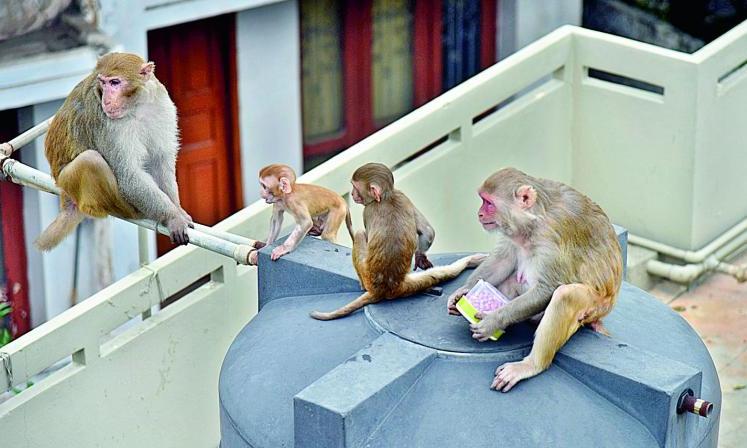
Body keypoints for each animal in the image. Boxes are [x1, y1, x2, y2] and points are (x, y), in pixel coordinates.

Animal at [35, 52, 192, 251]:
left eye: (115, 82)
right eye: (103, 83)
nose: (106, 100)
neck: (137, 106)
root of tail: (65, 193)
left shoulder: (161, 105)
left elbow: (159, 161)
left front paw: (177, 209)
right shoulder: (108, 124)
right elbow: (129, 176)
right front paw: (173, 217)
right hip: (73, 183)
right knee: (90, 160)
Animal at [310, 163, 486, 320]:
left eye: (355, 187)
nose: (352, 195)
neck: (386, 197)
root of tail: (386, 289)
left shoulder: (369, 209)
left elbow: (363, 233)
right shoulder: (402, 196)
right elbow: (428, 231)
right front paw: (420, 257)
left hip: (367, 275)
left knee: (360, 234)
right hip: (408, 283)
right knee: (443, 272)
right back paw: (470, 261)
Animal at [446, 167, 623, 392]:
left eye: (488, 202)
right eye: (482, 200)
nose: (480, 214)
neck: (534, 220)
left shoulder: (553, 235)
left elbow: (549, 288)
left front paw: (493, 320)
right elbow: (503, 260)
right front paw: (462, 292)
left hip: (595, 306)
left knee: (565, 295)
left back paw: (531, 365)